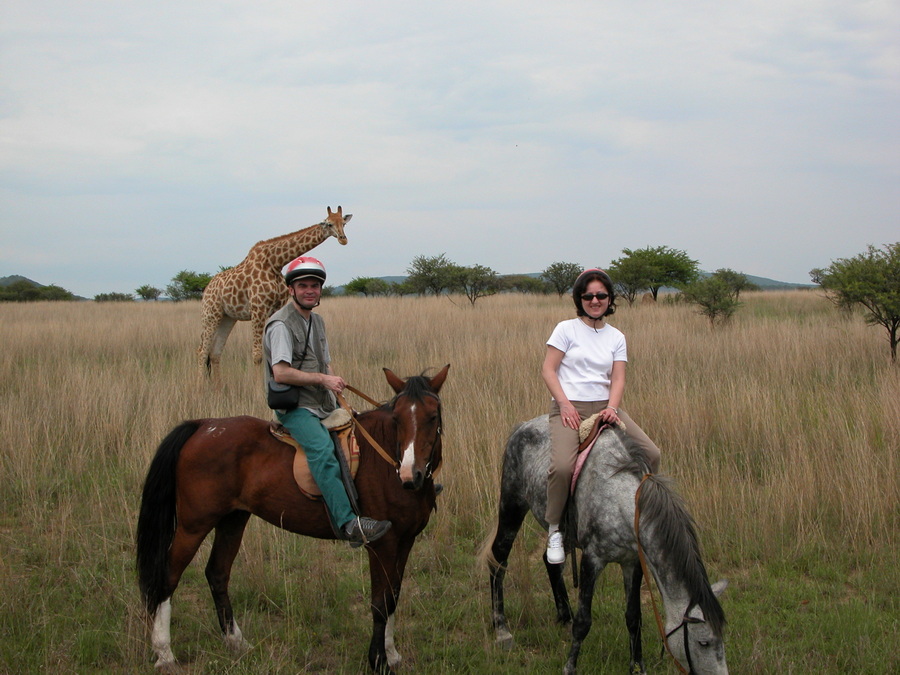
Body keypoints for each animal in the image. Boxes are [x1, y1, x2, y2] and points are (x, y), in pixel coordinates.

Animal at [135, 368, 450, 672]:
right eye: (397, 419)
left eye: (432, 416)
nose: (410, 475)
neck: (388, 462)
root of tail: (203, 425)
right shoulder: (382, 544)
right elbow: (380, 602)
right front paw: (378, 660)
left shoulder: (405, 541)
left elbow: (393, 595)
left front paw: (391, 654)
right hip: (194, 525)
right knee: (168, 577)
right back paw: (164, 652)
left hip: (232, 519)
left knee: (217, 573)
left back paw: (236, 642)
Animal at [200, 206, 352, 378]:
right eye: (329, 224)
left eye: (343, 224)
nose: (343, 239)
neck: (275, 262)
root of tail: (207, 289)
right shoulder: (258, 309)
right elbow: (257, 356)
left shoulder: (274, 309)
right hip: (211, 314)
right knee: (202, 351)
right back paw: (200, 385)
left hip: (227, 317)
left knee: (215, 353)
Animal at [482, 418, 728, 675]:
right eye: (703, 642)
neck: (621, 501)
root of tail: (522, 426)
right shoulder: (592, 560)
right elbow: (583, 622)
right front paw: (570, 667)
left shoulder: (632, 562)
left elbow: (633, 616)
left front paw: (637, 666)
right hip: (512, 507)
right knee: (498, 559)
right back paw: (502, 629)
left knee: (550, 563)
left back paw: (564, 616)